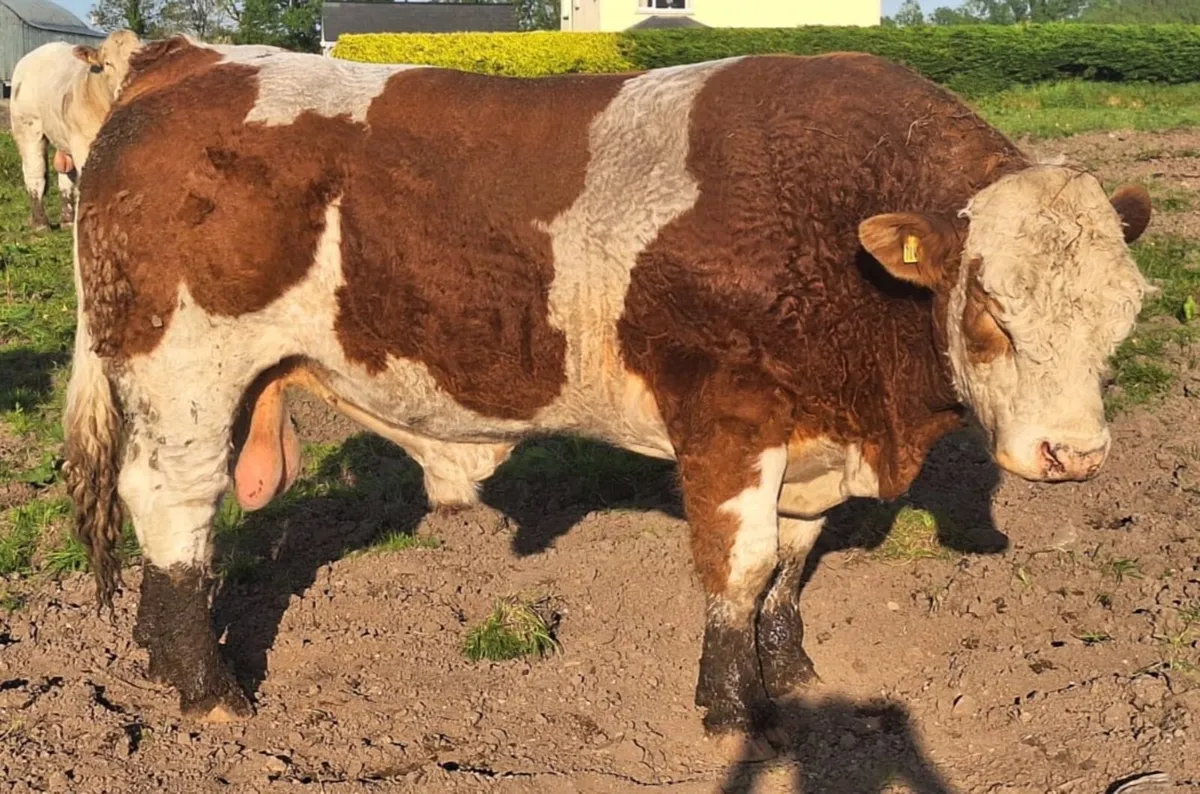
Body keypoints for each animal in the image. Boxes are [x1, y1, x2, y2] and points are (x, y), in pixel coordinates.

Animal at [9, 29, 142, 230]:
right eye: (107, 63)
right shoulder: (83, 143)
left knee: (65, 176)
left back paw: (67, 220)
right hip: (28, 127)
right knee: (35, 173)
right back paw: (41, 223)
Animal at [64, 37, 1153, 755]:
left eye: (1127, 312)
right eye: (992, 313)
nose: (1073, 454)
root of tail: (184, 57)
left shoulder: (810, 436)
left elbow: (792, 564)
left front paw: (793, 677)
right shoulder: (727, 418)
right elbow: (742, 567)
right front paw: (731, 711)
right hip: (184, 371)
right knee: (175, 509)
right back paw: (206, 690)